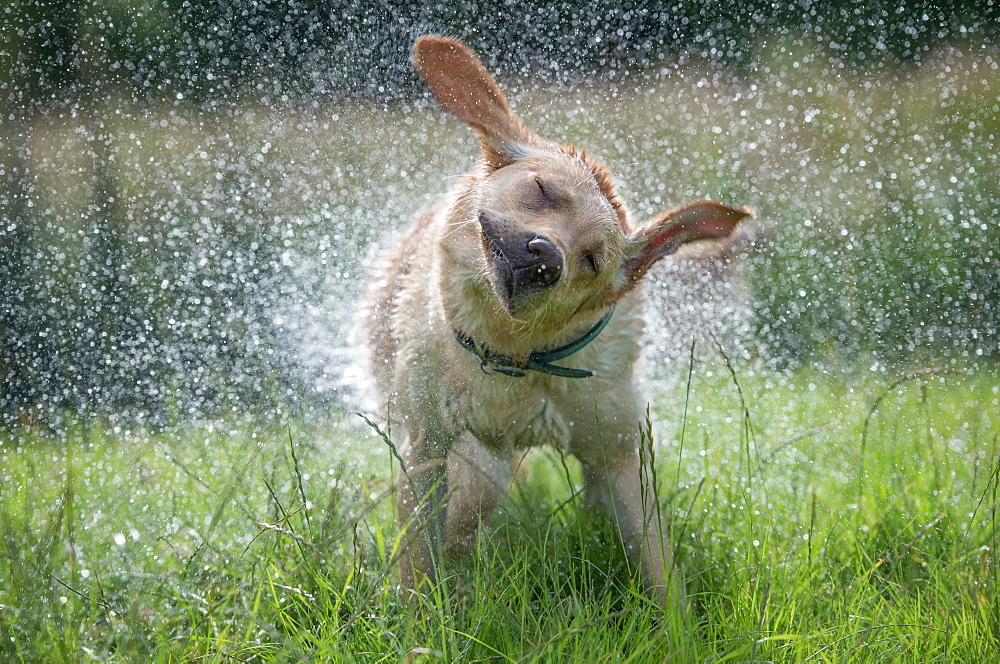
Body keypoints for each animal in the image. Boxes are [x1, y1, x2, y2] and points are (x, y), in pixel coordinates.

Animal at [362, 36, 752, 608]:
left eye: (592, 259)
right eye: (544, 190)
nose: (545, 256)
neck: (516, 357)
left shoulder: (620, 452)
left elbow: (656, 559)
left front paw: (678, 622)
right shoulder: (427, 443)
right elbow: (422, 551)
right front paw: (420, 609)